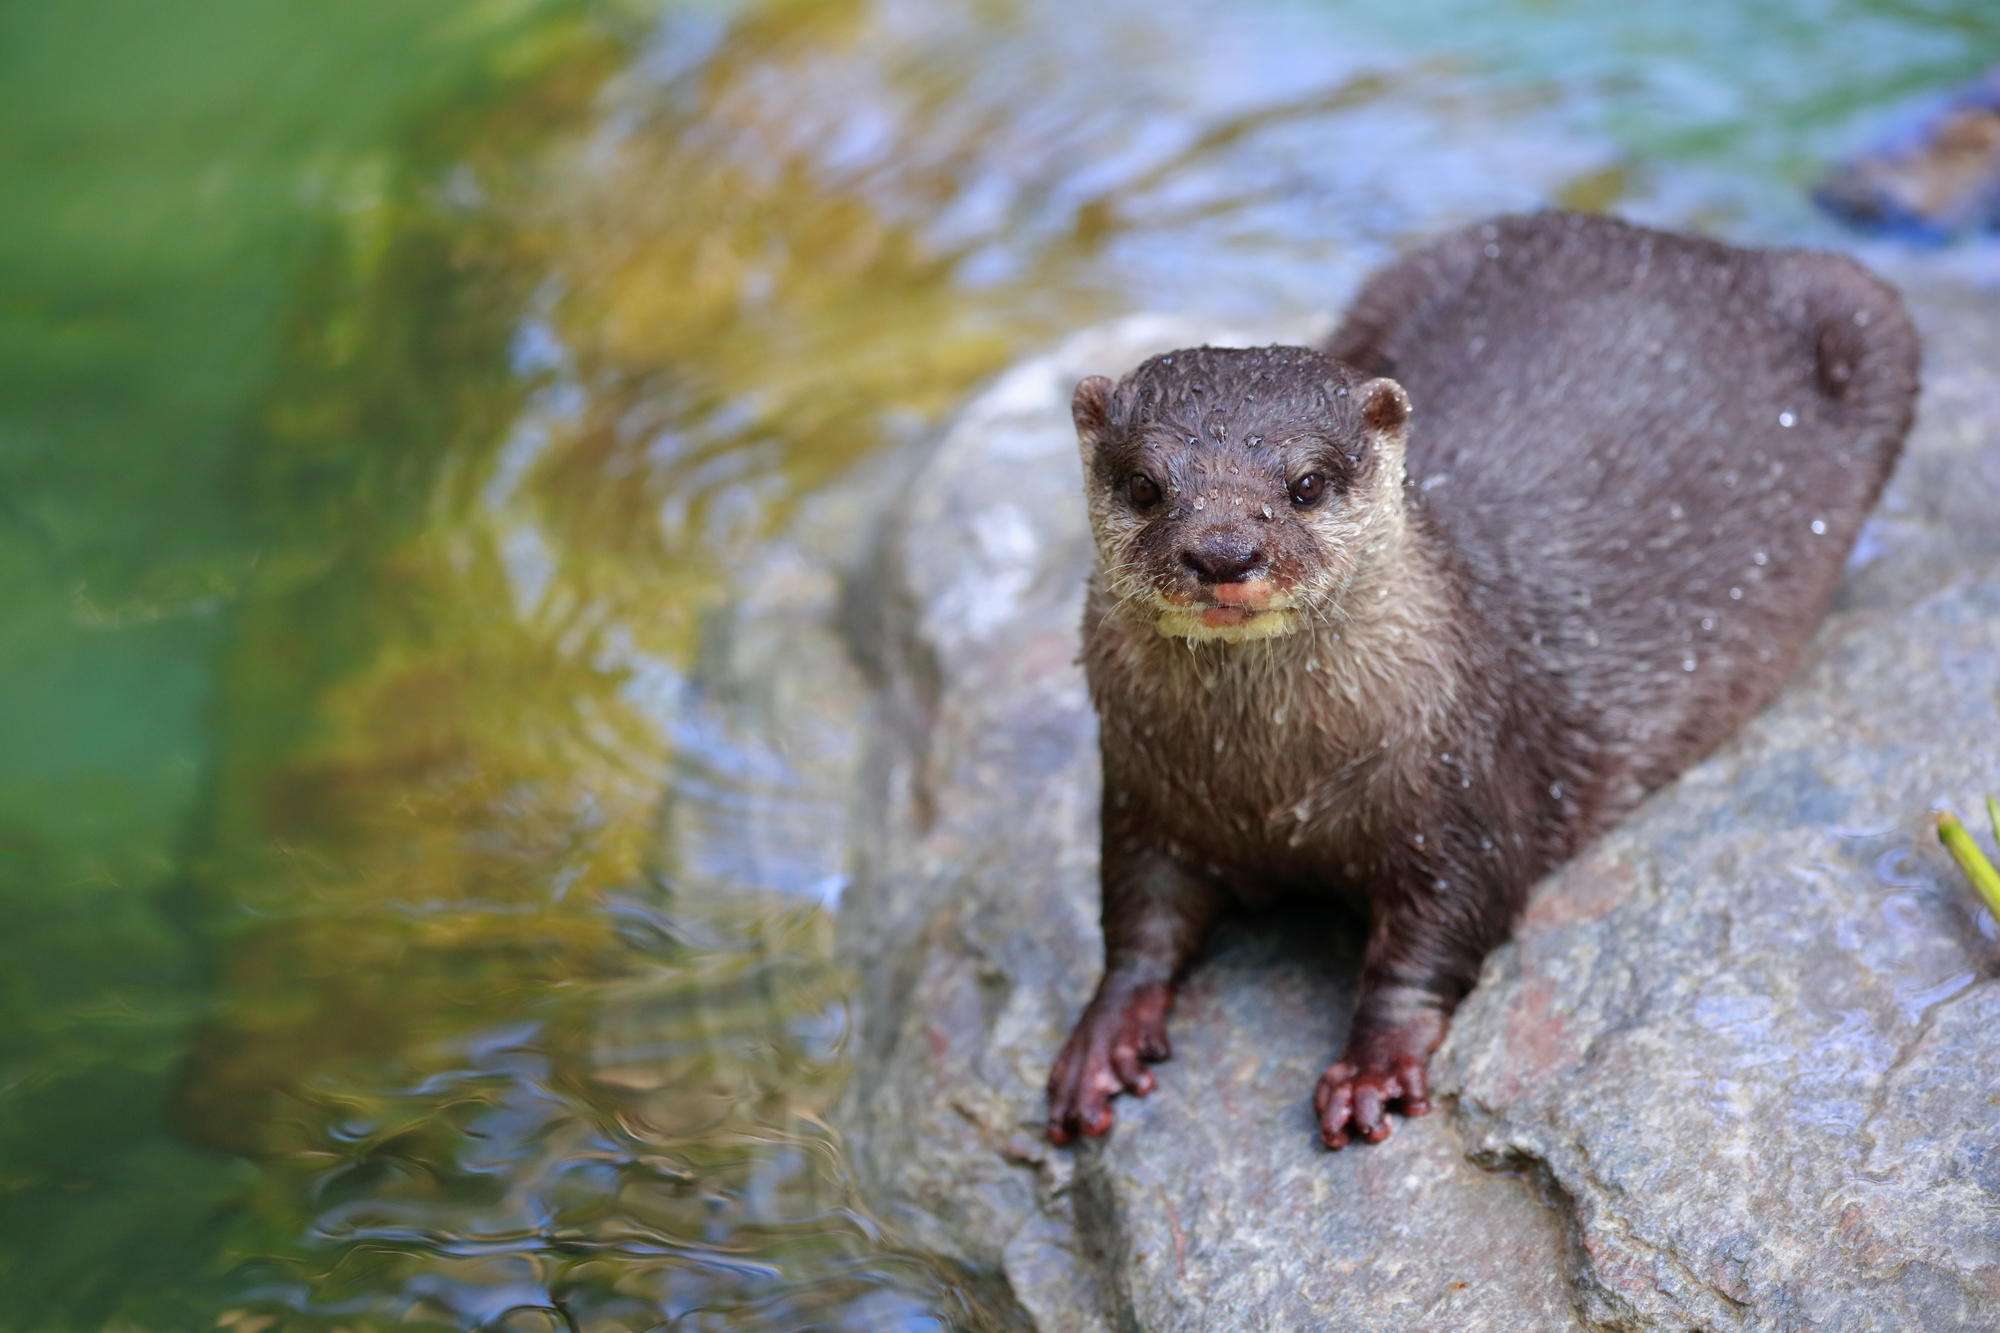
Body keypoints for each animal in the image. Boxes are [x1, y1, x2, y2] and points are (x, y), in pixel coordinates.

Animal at [1048, 213, 1920, 1144]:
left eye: (1306, 482)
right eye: (1146, 485)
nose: (1221, 551)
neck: (1270, 783)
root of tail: (1683, 245)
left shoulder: (1468, 788)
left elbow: (1441, 931)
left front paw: (1374, 1066)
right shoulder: (1141, 790)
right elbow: (1137, 915)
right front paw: (1104, 1035)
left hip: (1868, 317)